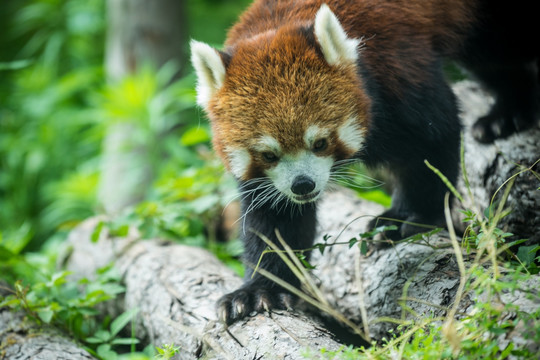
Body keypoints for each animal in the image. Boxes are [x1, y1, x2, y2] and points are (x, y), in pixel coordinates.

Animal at [190, 0, 540, 324]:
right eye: (269, 155)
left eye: (320, 142)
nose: (303, 185)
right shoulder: (269, 181)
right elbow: (275, 222)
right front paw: (261, 289)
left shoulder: (399, 70)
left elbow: (433, 140)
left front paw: (407, 219)